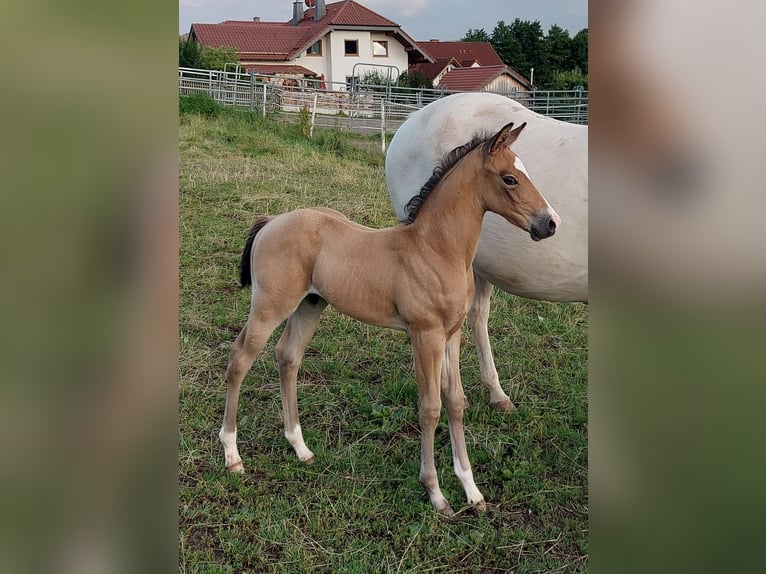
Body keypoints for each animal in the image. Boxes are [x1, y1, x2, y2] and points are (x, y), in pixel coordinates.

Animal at [220, 122, 560, 514]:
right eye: (510, 179)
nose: (550, 223)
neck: (435, 250)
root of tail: (273, 220)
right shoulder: (424, 335)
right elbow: (430, 407)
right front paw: (436, 494)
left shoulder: (452, 334)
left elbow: (456, 402)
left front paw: (471, 491)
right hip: (270, 306)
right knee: (240, 358)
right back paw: (232, 456)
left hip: (310, 305)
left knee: (288, 357)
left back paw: (300, 448)